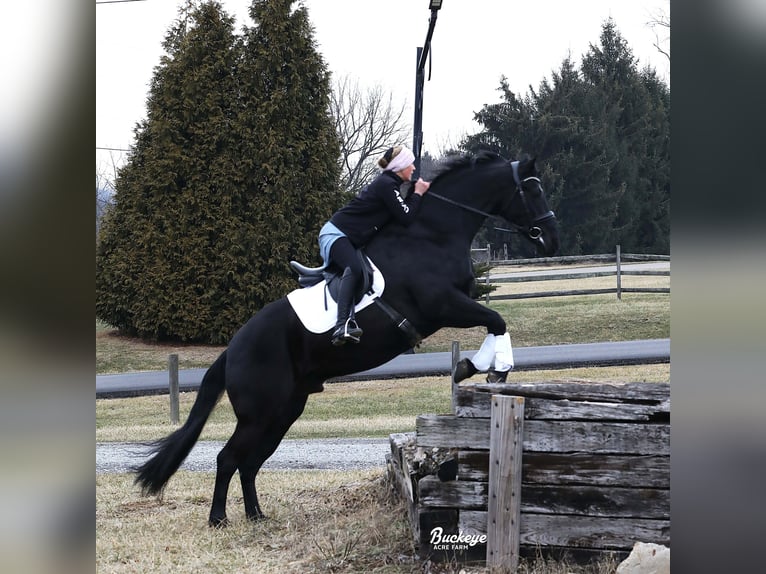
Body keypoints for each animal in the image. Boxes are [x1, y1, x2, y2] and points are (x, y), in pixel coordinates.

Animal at [135, 152, 560, 528]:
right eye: (533, 189)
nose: (551, 240)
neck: (432, 234)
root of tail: (232, 350)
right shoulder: (443, 305)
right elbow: (497, 320)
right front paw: (489, 367)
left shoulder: (454, 304)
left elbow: (495, 322)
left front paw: (478, 366)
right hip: (260, 413)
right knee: (229, 458)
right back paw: (218, 519)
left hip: (284, 411)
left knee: (250, 462)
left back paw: (256, 516)